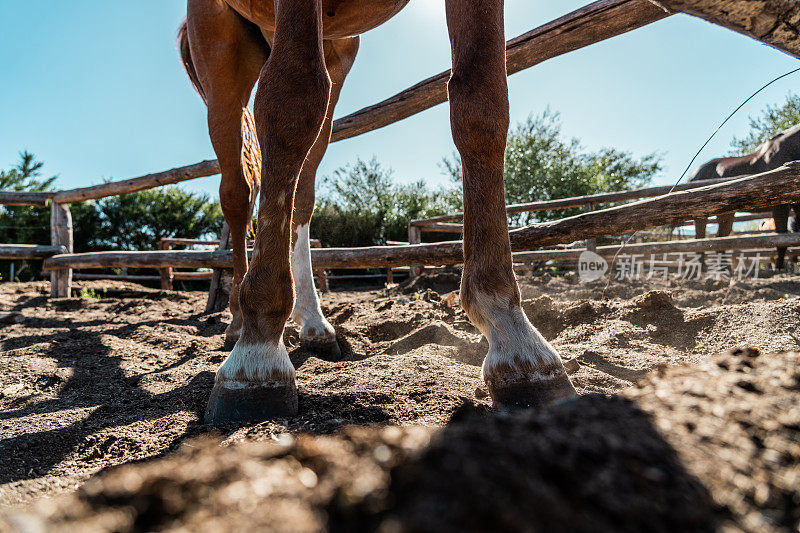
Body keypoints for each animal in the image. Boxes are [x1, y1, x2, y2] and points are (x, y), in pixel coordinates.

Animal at [179, 0, 576, 424]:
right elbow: (291, 96)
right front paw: (257, 355)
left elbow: (482, 105)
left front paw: (514, 338)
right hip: (222, 55)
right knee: (238, 194)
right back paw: (240, 322)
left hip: (334, 52)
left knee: (302, 185)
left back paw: (312, 322)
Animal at [688, 122, 800, 268]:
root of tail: (694, 174)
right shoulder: (780, 207)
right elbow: (781, 237)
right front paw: (779, 267)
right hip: (702, 215)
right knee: (699, 238)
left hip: (726, 214)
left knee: (719, 239)